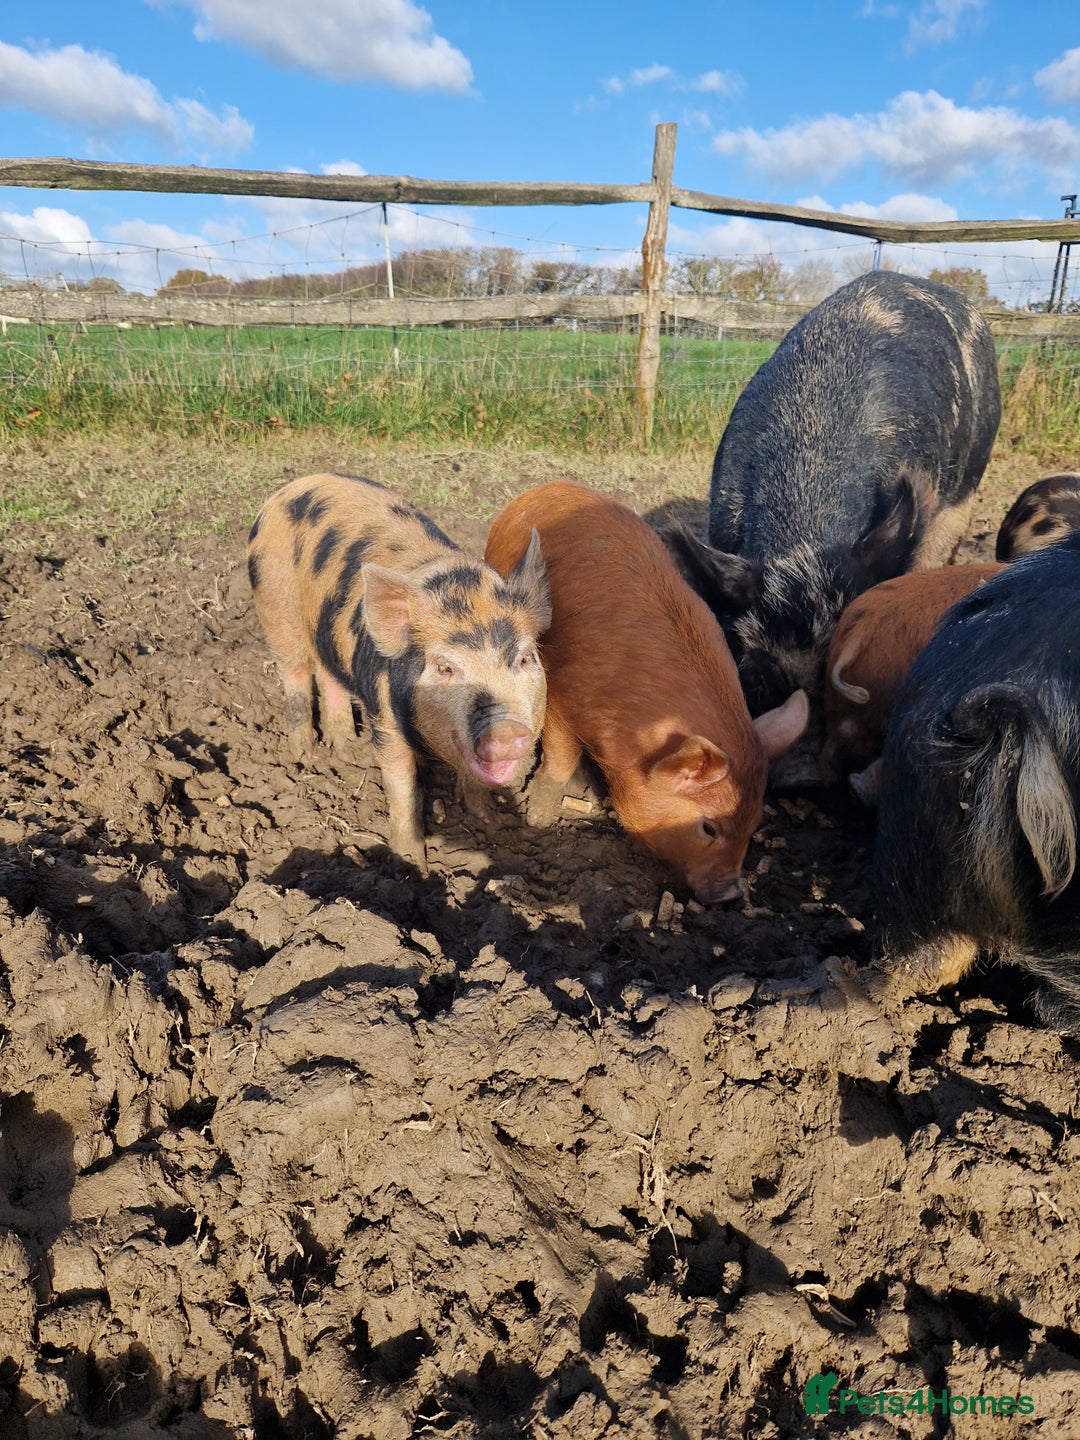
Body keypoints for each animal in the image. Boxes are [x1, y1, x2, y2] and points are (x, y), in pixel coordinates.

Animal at [247, 472, 551, 868]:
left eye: (525, 658)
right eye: (444, 667)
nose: (507, 728)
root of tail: (289, 489)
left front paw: (489, 820)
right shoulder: (385, 719)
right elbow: (403, 789)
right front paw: (410, 864)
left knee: (329, 674)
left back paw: (347, 747)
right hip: (275, 603)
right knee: (295, 672)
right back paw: (306, 756)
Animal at [484, 480, 808, 904]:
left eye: (753, 825)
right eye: (709, 827)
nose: (730, 895)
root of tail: (546, 488)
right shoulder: (564, 696)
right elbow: (559, 759)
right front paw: (537, 820)